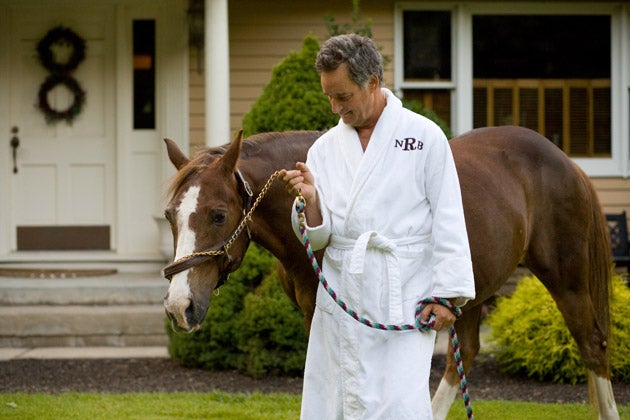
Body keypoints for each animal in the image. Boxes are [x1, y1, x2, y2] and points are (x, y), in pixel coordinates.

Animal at [160, 125, 620, 420]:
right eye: (169, 215)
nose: (180, 305)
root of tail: (566, 161)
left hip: (568, 281)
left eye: (218, 215)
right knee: (464, 356)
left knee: (592, 346)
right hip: (468, 292)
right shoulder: (316, 313)